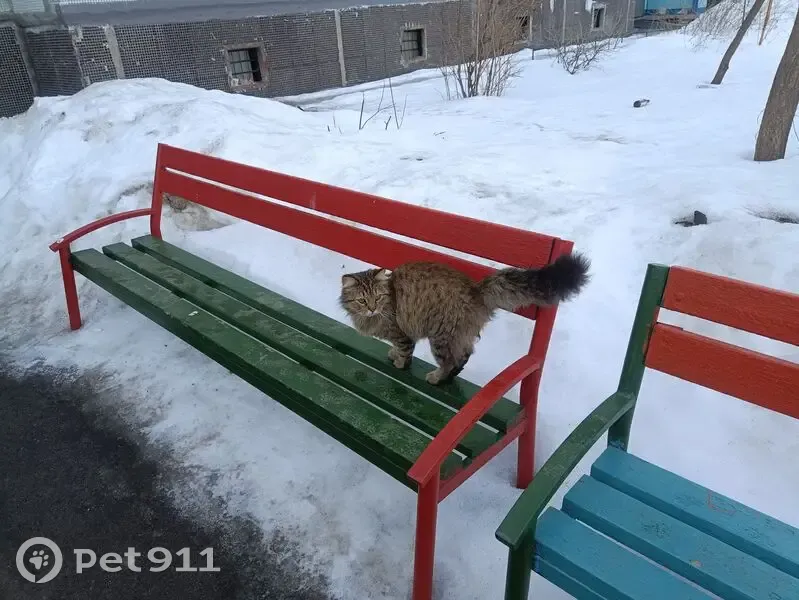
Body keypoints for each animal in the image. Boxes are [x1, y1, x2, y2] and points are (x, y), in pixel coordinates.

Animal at [339, 252, 590, 385]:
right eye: (362, 301)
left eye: (378, 298)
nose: (372, 309)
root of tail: (476, 290)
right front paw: (393, 354)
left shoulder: (402, 332)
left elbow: (405, 350)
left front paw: (400, 363)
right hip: (457, 334)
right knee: (465, 354)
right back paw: (451, 376)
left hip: (440, 336)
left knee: (450, 360)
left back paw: (437, 376)